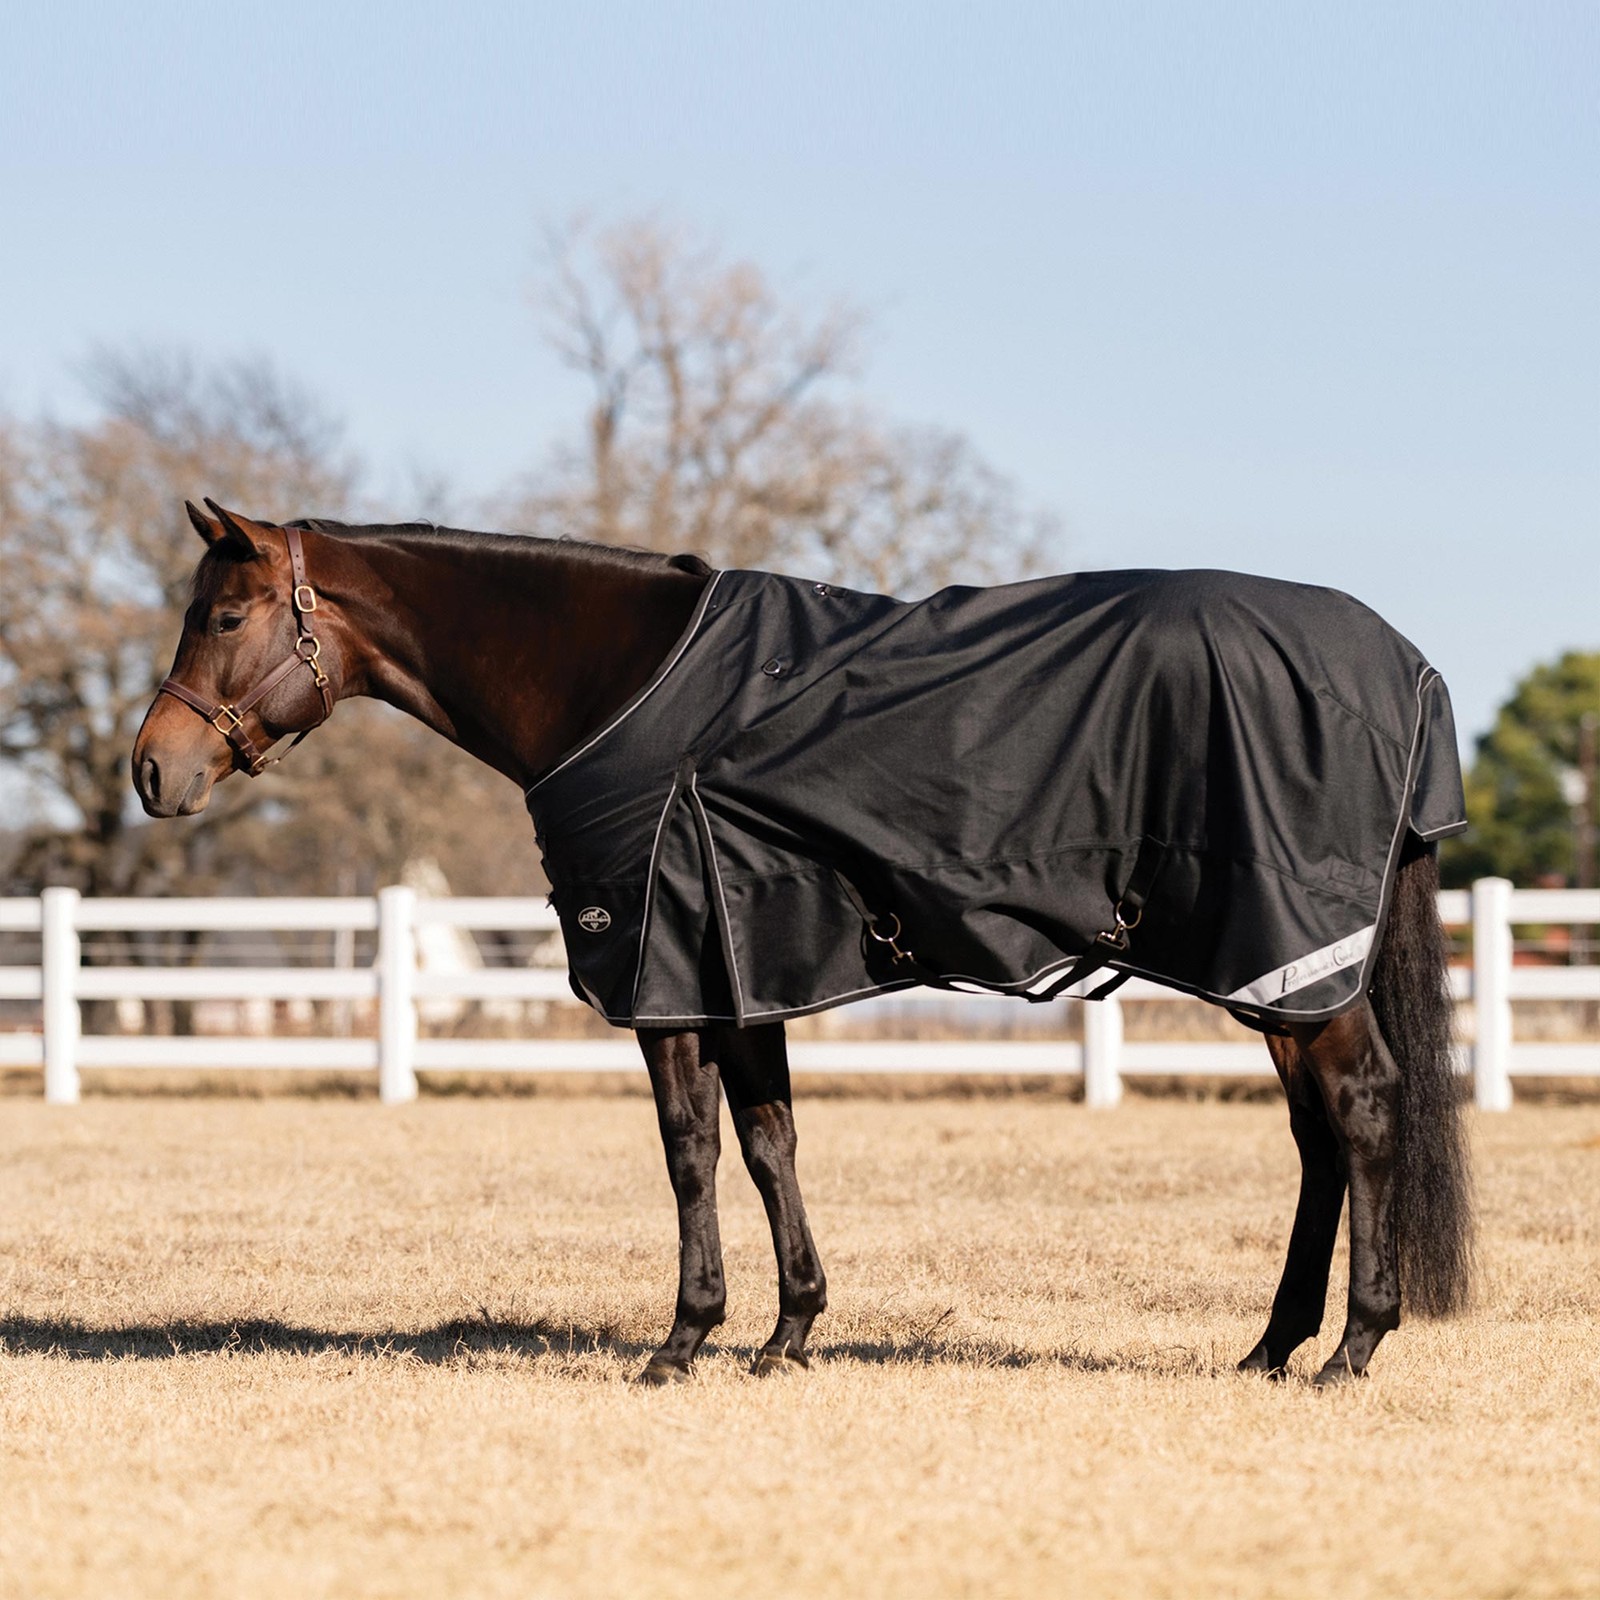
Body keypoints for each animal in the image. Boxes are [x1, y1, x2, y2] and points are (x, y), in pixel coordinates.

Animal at [131, 501, 1475, 1386]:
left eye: (228, 614)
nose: (152, 770)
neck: (618, 687)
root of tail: (1405, 665)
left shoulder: (666, 974)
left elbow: (688, 1151)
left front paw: (682, 1340)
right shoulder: (744, 962)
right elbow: (770, 1140)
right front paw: (787, 1333)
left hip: (1293, 962)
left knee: (1361, 1111)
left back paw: (1350, 1347)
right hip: (1275, 977)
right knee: (1315, 1138)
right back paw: (1270, 1345)